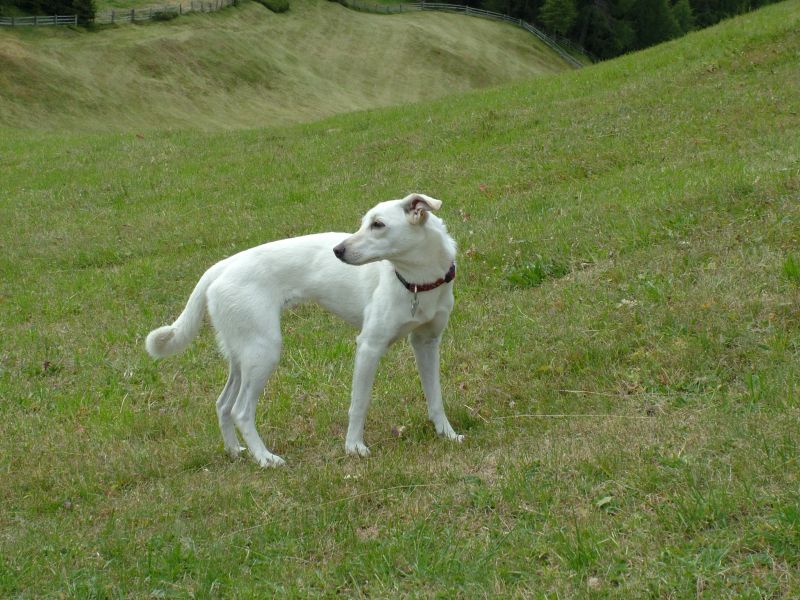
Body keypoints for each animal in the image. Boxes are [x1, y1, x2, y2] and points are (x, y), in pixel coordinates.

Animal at [145, 195, 462, 466]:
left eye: (378, 224)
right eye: (365, 223)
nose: (338, 250)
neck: (417, 281)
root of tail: (221, 266)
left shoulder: (427, 343)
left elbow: (435, 397)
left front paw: (446, 434)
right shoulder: (369, 346)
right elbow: (359, 403)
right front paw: (353, 447)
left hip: (242, 354)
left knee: (223, 405)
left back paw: (236, 452)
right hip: (264, 352)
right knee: (240, 411)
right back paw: (265, 458)